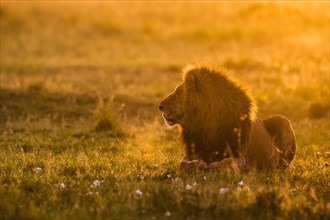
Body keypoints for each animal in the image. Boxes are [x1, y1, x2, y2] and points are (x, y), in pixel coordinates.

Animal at [159, 64, 296, 171]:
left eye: (177, 93)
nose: (160, 106)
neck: (205, 124)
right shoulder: (196, 149)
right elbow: (182, 163)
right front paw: (198, 165)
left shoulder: (242, 156)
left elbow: (229, 161)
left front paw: (214, 166)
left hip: (282, 120)